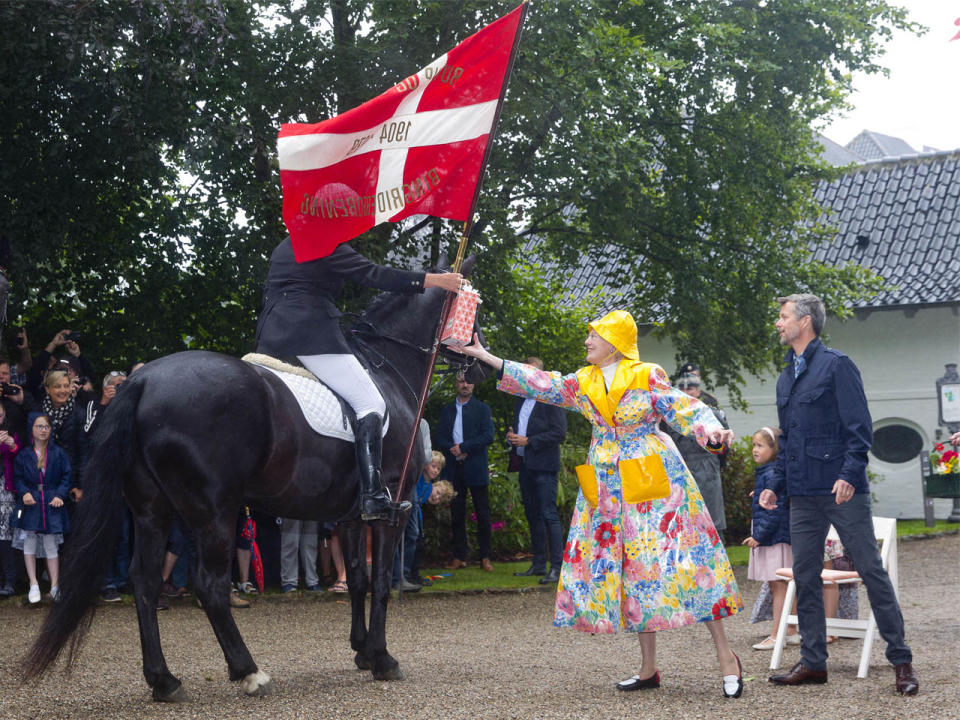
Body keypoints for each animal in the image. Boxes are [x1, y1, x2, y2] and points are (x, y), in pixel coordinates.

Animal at [22, 253, 488, 696]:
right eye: (474, 309)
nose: (483, 366)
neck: (388, 369)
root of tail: (144, 381)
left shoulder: (353, 514)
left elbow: (356, 577)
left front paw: (361, 652)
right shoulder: (395, 506)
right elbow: (380, 582)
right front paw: (383, 658)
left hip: (153, 511)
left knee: (146, 581)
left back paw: (164, 681)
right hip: (215, 514)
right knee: (209, 585)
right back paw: (249, 672)